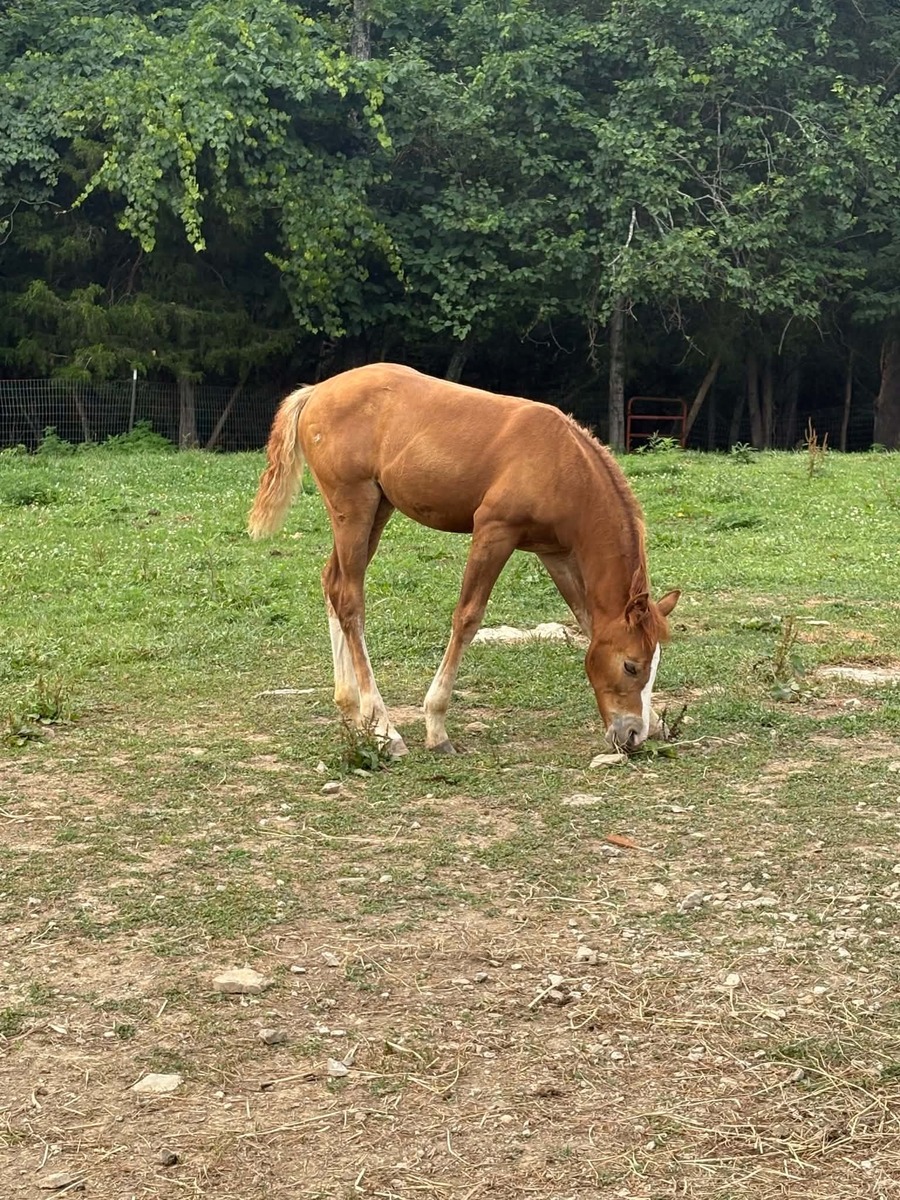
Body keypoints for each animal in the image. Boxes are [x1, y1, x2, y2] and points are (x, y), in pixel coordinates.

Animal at [249, 363, 679, 757]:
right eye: (630, 665)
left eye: (655, 664)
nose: (632, 735)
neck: (561, 463)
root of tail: (316, 391)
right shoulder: (493, 531)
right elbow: (467, 617)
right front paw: (436, 727)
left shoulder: (553, 552)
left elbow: (587, 620)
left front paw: (656, 721)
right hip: (353, 506)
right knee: (351, 601)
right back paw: (386, 730)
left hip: (377, 509)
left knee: (333, 584)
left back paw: (354, 713)